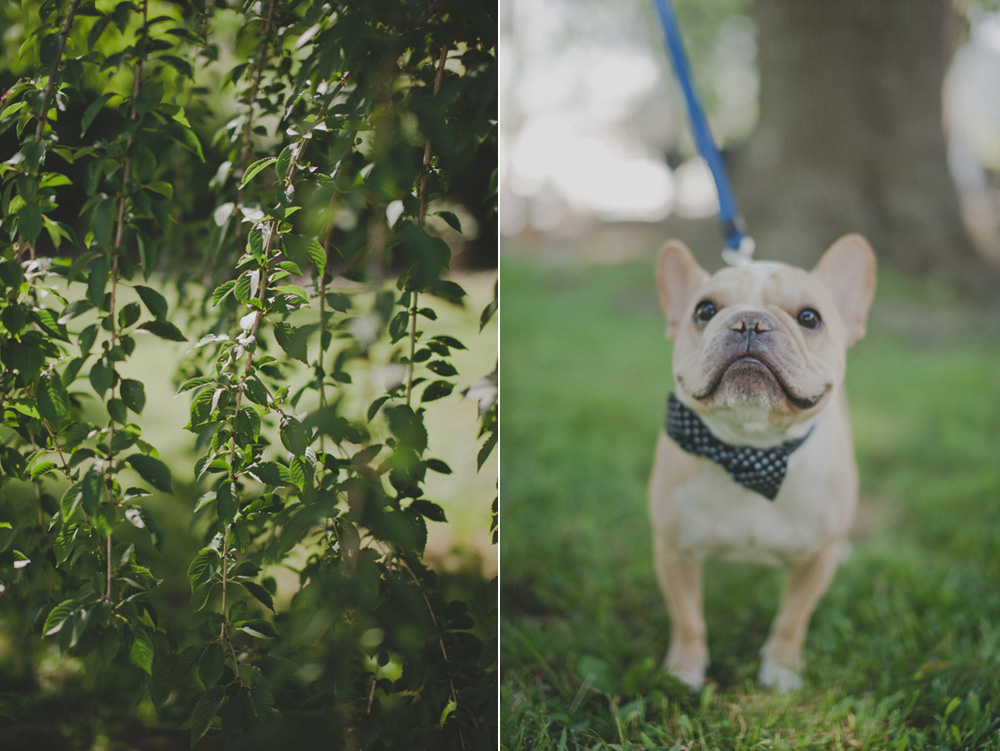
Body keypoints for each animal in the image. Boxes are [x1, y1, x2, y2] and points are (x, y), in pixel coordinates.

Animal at [648, 236, 876, 692]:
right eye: (704, 311)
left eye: (809, 317)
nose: (749, 322)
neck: (752, 452)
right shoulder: (674, 550)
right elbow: (688, 619)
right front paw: (684, 672)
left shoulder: (815, 560)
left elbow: (792, 619)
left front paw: (782, 671)